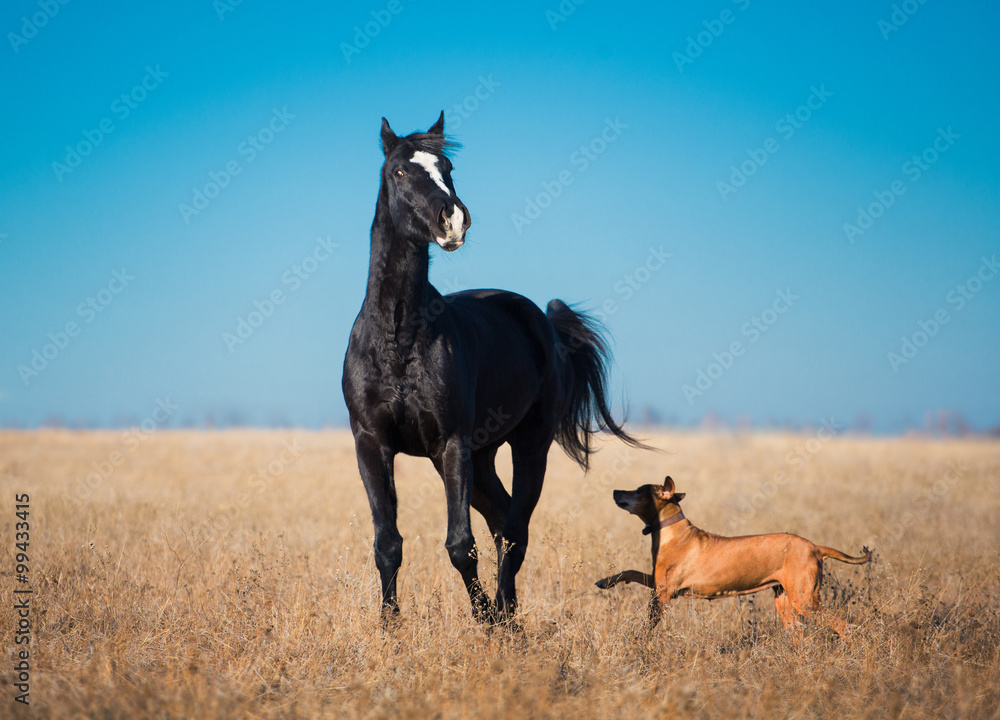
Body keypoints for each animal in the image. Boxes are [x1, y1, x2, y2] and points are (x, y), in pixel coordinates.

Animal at [340, 114, 644, 624]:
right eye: (399, 171)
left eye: (448, 167)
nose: (452, 219)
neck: (398, 339)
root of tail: (547, 323)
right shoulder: (371, 443)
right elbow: (388, 545)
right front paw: (389, 626)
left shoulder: (452, 443)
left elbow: (461, 546)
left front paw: (485, 618)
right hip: (480, 458)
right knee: (503, 522)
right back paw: (510, 615)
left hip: (526, 446)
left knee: (515, 530)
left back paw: (504, 614)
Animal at [596, 478, 872, 636]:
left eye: (639, 491)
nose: (615, 491)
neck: (671, 530)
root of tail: (815, 547)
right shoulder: (657, 582)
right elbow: (630, 571)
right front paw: (606, 581)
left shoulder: (663, 592)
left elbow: (649, 625)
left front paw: (640, 643)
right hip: (785, 600)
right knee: (799, 632)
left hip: (804, 601)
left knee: (845, 627)